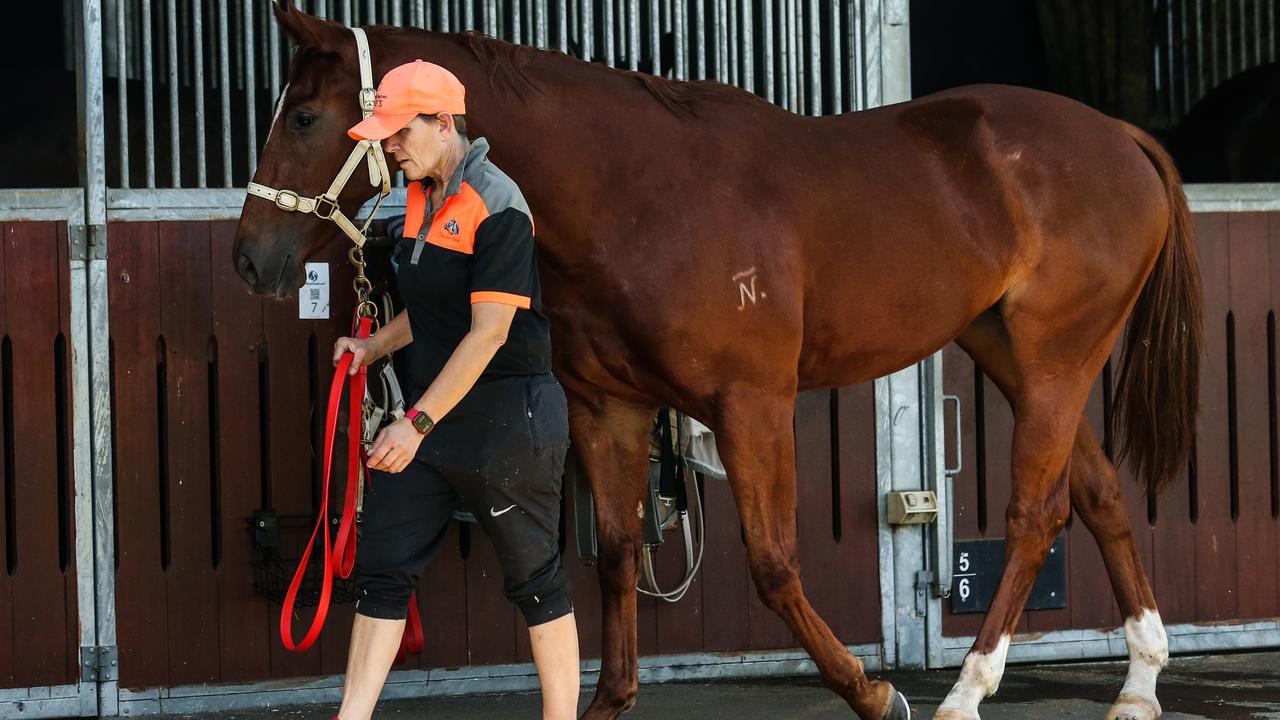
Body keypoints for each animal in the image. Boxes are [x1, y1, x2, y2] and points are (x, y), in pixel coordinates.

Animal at [235, 2, 1203, 712]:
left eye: (309, 115)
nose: (250, 259)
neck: (634, 193)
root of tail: (1123, 138)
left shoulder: (752, 404)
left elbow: (774, 566)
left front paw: (872, 692)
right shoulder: (608, 407)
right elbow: (618, 555)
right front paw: (609, 701)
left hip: (1055, 358)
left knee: (1039, 512)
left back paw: (967, 692)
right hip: (1007, 347)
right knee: (1100, 493)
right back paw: (1140, 681)